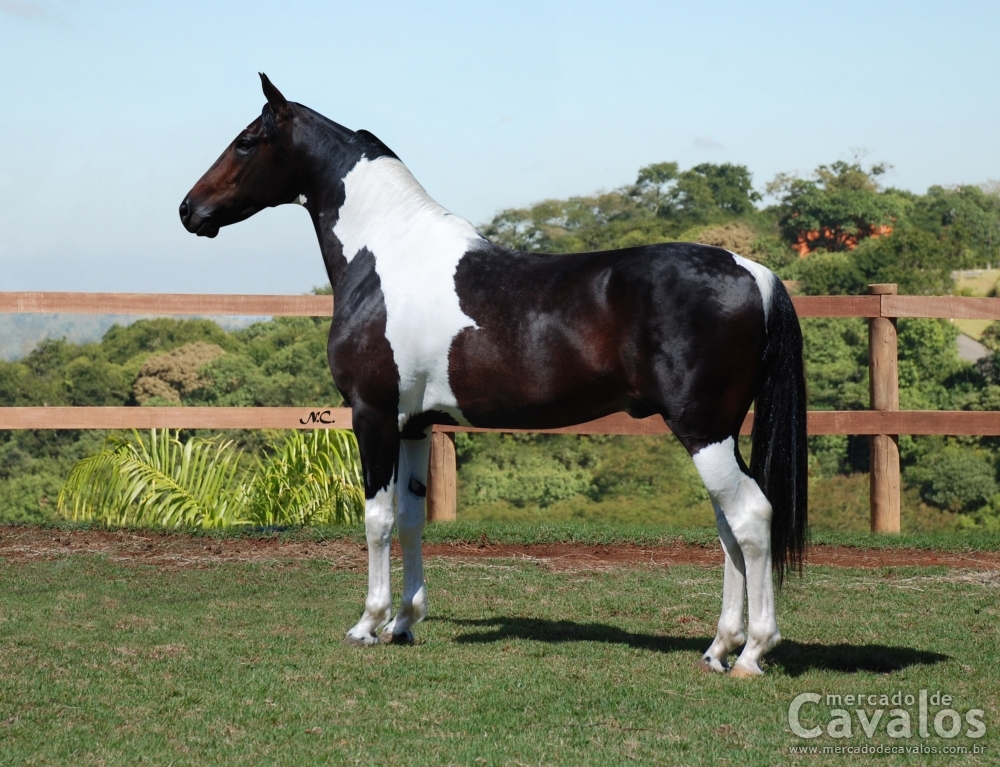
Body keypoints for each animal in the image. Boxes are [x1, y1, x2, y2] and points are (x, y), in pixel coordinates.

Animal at [180, 74, 807, 677]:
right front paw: (404, 623)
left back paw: (752, 653)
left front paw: (368, 624)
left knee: (750, 518)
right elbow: (411, 518)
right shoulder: (415, 424)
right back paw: (719, 648)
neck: (388, 257)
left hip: (704, 431)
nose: (189, 209)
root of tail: (754, 271)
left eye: (246, 141)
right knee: (728, 528)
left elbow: (377, 519)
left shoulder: (373, 415)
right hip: (717, 432)